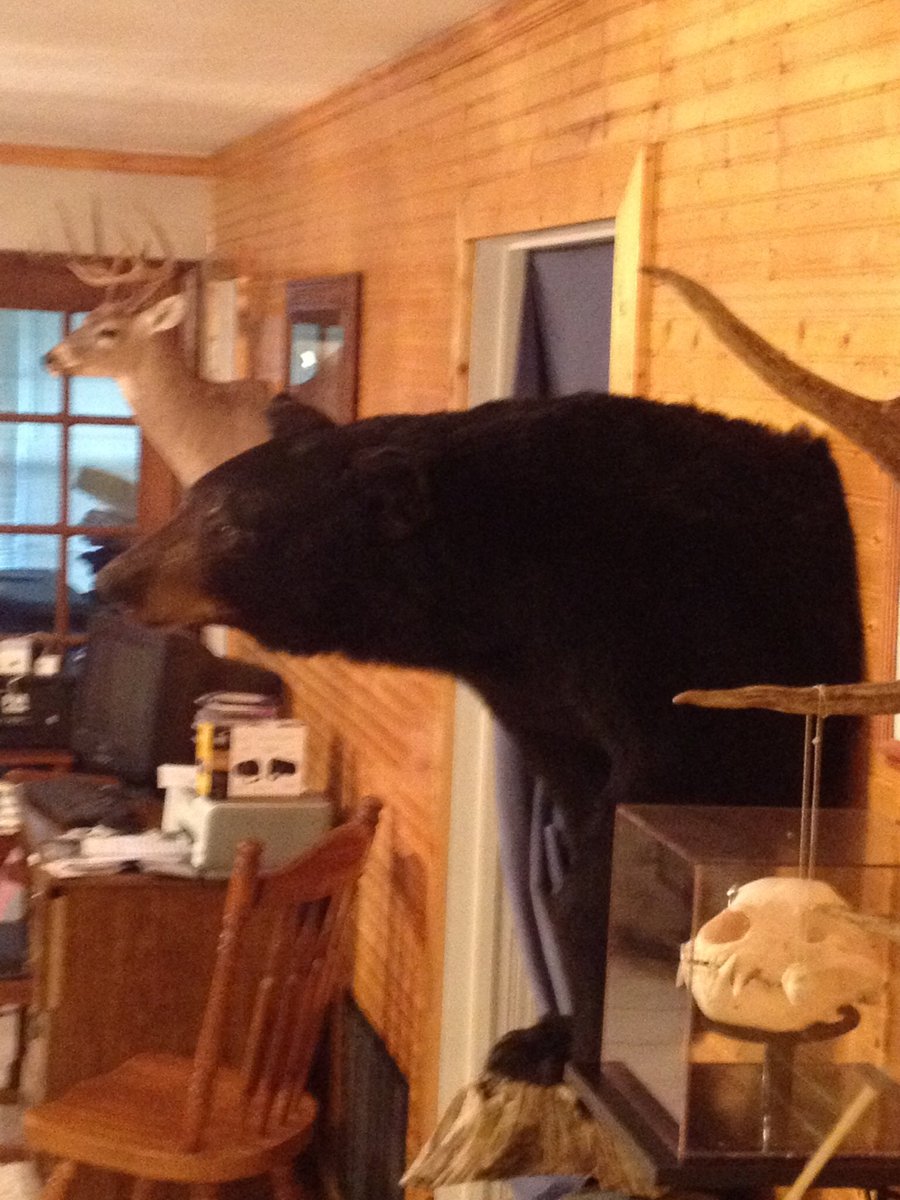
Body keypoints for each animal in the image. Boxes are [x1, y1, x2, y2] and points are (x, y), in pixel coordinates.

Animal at [96, 391, 862, 1076]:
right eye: (196, 500)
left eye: (225, 526)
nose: (113, 579)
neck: (507, 582)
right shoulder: (532, 692)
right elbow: (579, 782)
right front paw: (543, 1035)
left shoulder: (683, 629)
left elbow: (676, 788)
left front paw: (577, 1041)